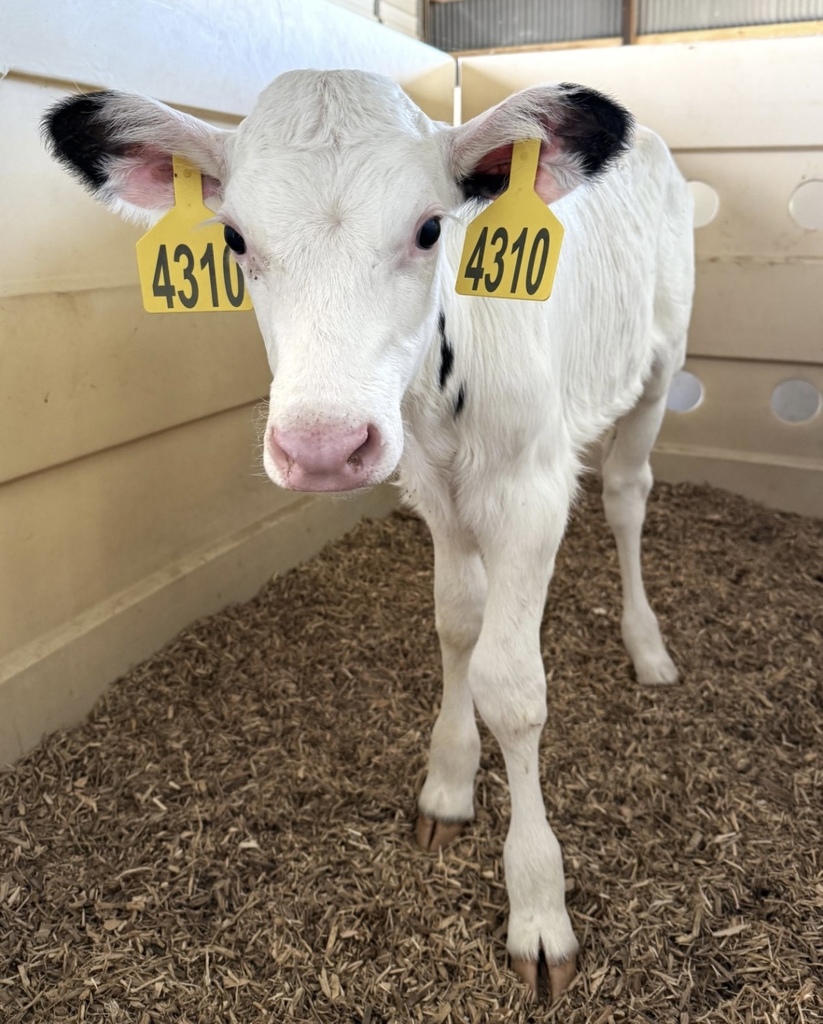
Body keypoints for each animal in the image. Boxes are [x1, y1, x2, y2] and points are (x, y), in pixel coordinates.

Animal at [42, 69, 694, 1000]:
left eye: (430, 228)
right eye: (234, 237)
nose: (321, 447)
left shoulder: (531, 489)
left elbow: (513, 687)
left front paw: (537, 906)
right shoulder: (434, 487)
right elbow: (458, 629)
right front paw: (448, 782)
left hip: (659, 365)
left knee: (626, 495)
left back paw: (646, 646)